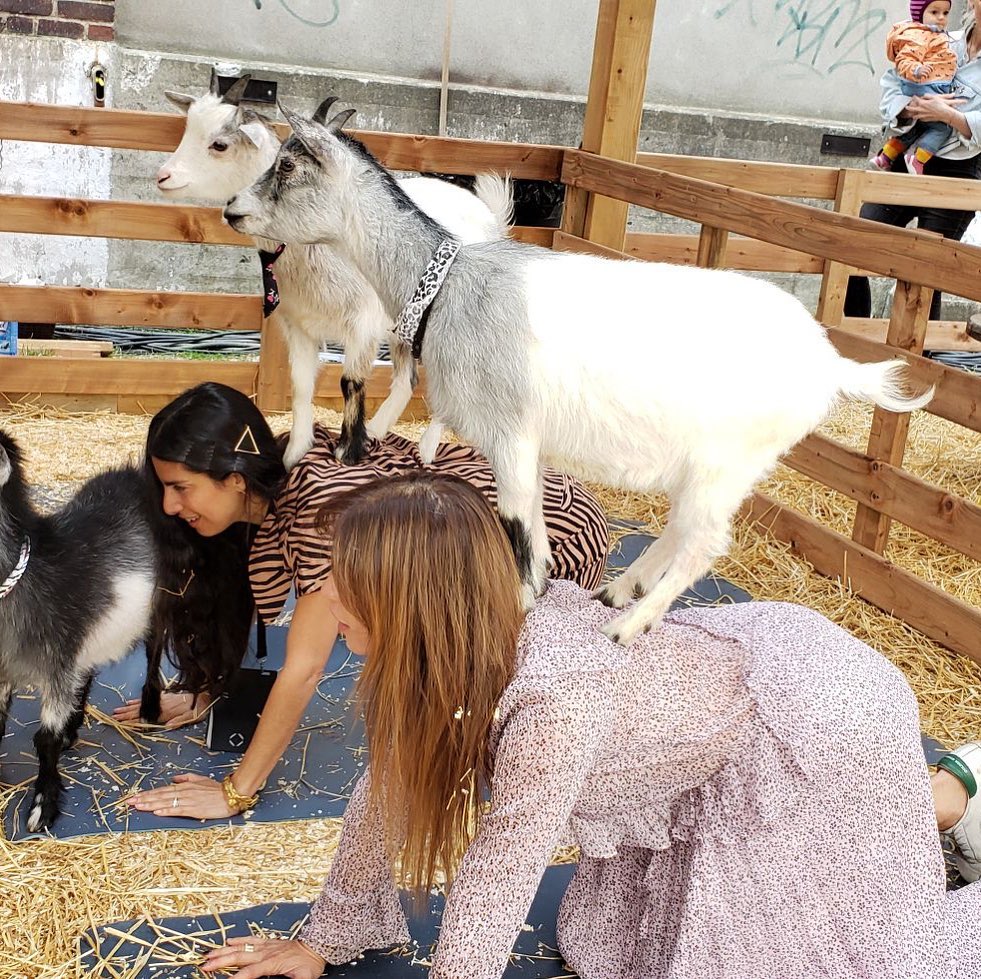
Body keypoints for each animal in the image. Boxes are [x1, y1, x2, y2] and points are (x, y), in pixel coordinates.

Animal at [157, 76, 510, 468]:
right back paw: (379, 431)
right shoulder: (298, 325)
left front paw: (348, 452)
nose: (163, 176)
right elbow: (300, 386)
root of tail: (491, 215)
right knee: (406, 381)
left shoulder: (362, 323)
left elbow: (350, 382)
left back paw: (427, 449)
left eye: (219, 144)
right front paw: (296, 454)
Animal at [222, 103, 936, 648]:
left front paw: (520, 607)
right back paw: (622, 588)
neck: (451, 284)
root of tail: (830, 362)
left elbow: (519, 533)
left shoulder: (510, 434)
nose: (232, 210)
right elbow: (533, 526)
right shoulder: (529, 445)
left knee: (704, 541)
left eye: (288, 167)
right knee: (683, 528)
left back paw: (632, 623)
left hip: (731, 458)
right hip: (720, 464)